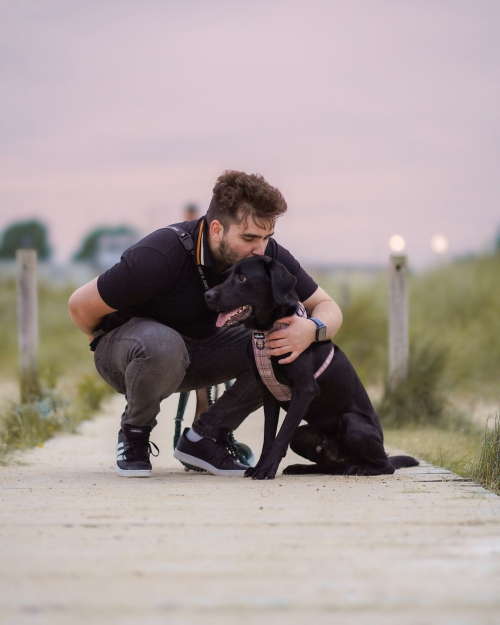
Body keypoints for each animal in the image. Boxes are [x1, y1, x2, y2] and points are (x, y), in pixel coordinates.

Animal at [203, 256, 418, 480]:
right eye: (226, 276)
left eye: (242, 278)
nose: (207, 295)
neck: (267, 331)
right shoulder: (268, 392)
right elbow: (269, 437)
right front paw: (260, 467)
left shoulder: (304, 390)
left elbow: (281, 435)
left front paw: (267, 469)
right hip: (301, 436)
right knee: (331, 466)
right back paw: (302, 467)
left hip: (353, 423)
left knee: (386, 465)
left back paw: (361, 469)